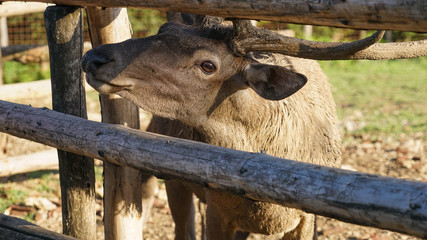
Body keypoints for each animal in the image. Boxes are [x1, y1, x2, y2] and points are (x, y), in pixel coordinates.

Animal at [82, 15, 426, 240]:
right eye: (163, 30)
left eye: (207, 65)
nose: (94, 56)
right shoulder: (216, 210)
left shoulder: (306, 218)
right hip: (168, 175)